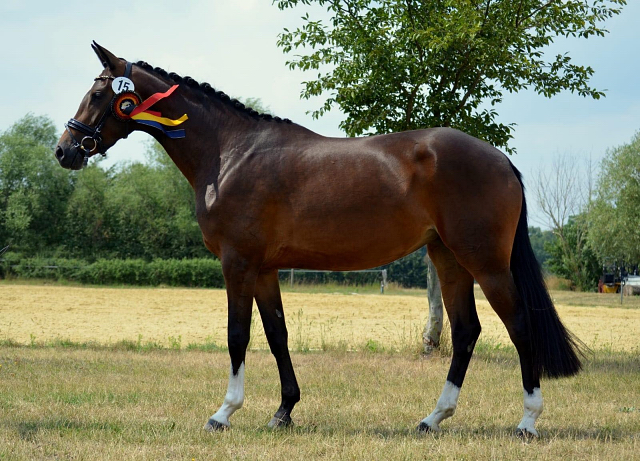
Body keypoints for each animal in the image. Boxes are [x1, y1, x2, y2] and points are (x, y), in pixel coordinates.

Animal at [56, 42, 584, 434]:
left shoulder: (237, 263)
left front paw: (224, 412)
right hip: (448, 258)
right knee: (466, 331)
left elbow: (237, 335)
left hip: (485, 262)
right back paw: (433, 418)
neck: (230, 154)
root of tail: (500, 159)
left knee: (519, 325)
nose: (65, 150)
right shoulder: (265, 269)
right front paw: (283, 411)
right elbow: (277, 335)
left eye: (98, 95)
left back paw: (527, 421)